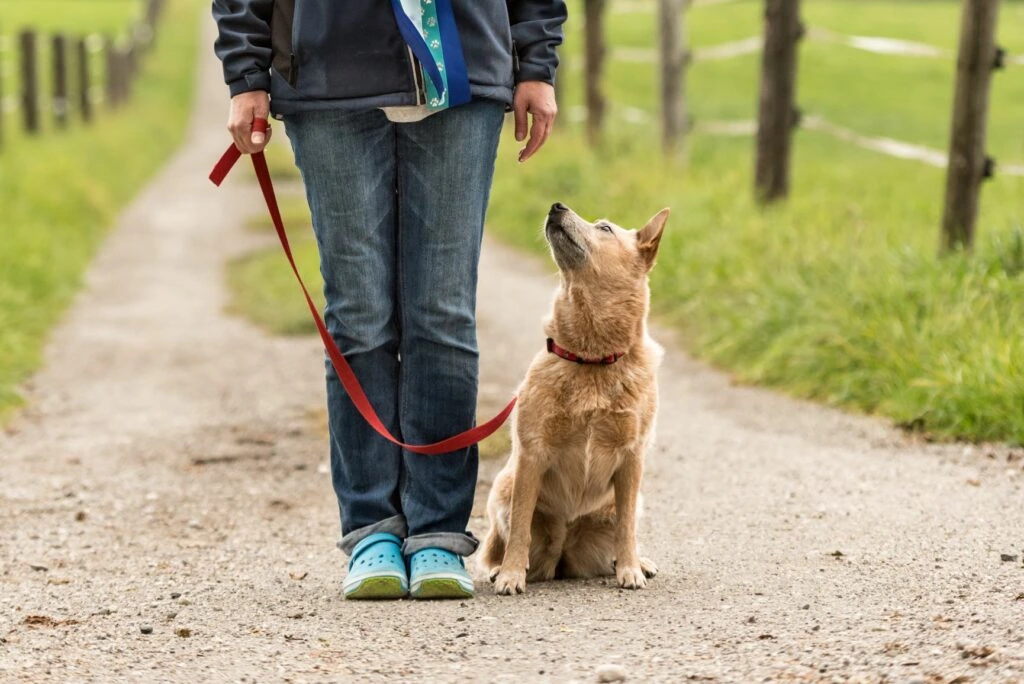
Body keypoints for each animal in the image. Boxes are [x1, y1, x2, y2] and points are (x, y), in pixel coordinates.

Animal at [477, 201, 667, 593]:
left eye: (605, 228)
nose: (556, 205)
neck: (592, 359)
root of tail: (565, 547)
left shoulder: (632, 457)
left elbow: (627, 527)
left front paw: (630, 569)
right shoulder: (532, 453)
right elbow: (520, 525)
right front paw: (511, 574)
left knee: (623, 528)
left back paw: (636, 561)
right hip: (502, 489)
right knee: (499, 542)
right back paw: (499, 568)